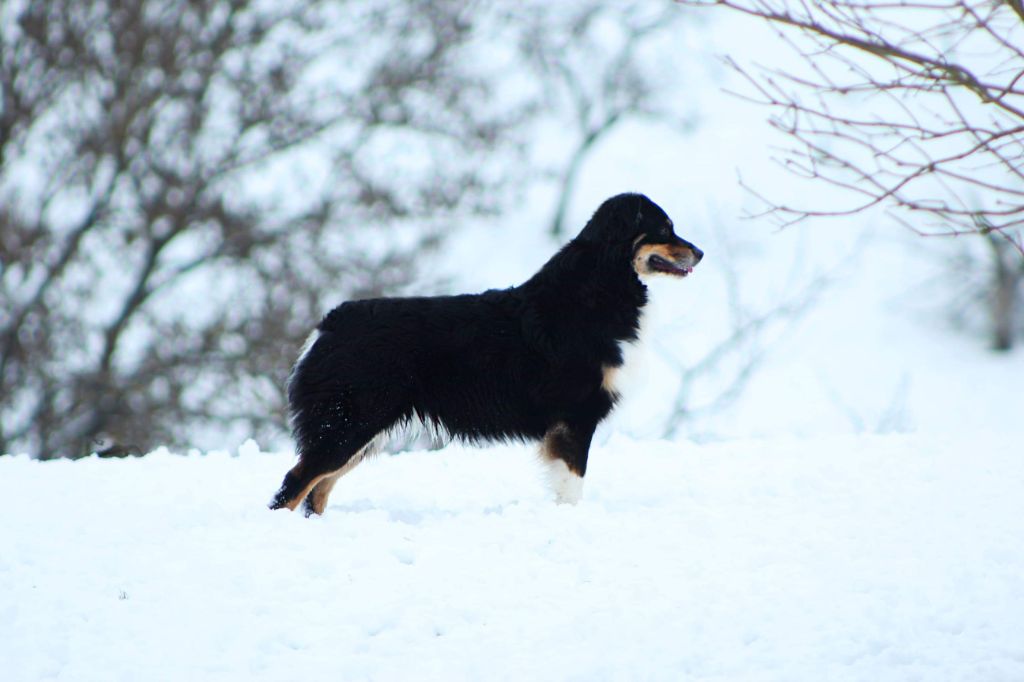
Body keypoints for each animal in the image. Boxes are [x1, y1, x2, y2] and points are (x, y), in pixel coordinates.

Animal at [270, 188, 704, 512]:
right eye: (665, 228)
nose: (699, 253)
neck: (602, 285)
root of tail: (329, 323)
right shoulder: (575, 417)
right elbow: (571, 484)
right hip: (349, 423)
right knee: (295, 483)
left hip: (359, 431)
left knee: (317, 490)